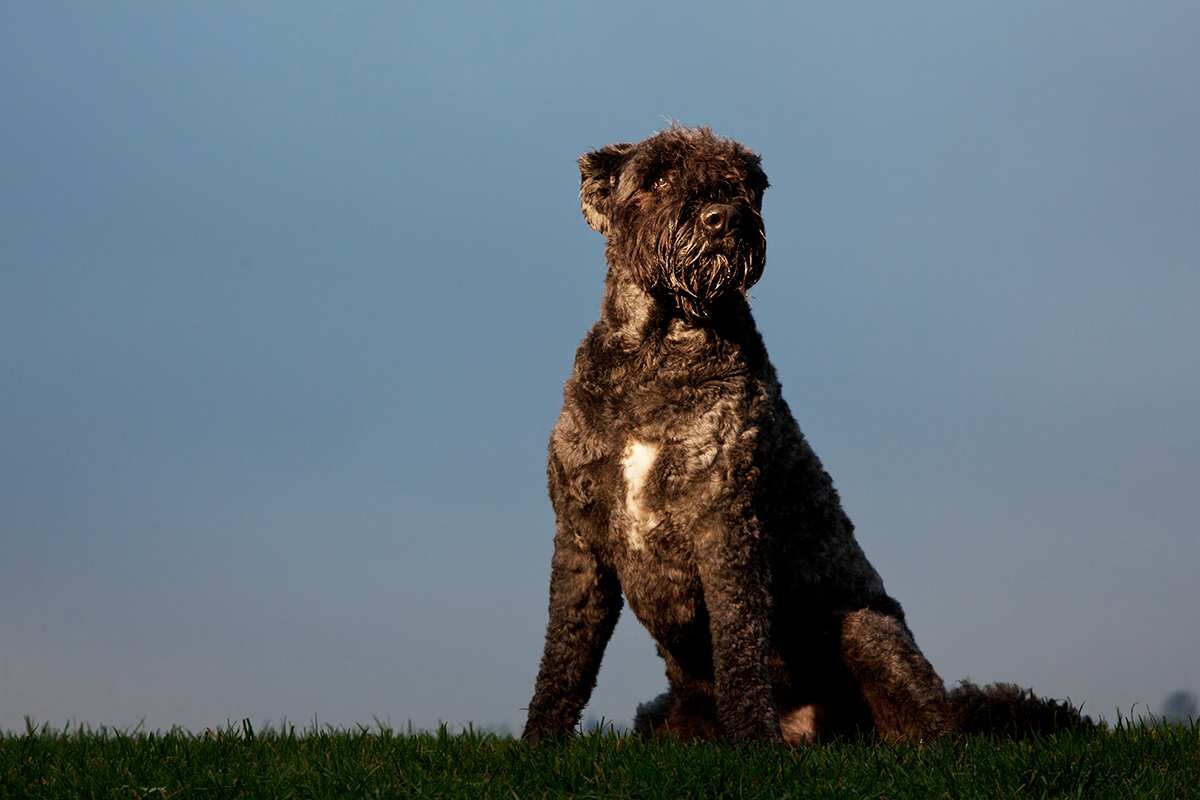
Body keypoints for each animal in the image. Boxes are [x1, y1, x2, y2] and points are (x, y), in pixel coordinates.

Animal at [525, 125, 1089, 743]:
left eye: (742, 180)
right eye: (659, 176)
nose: (723, 217)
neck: (658, 353)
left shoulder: (726, 525)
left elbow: (739, 644)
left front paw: (753, 740)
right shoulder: (579, 535)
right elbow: (564, 655)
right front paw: (538, 743)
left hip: (866, 631)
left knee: (933, 729)